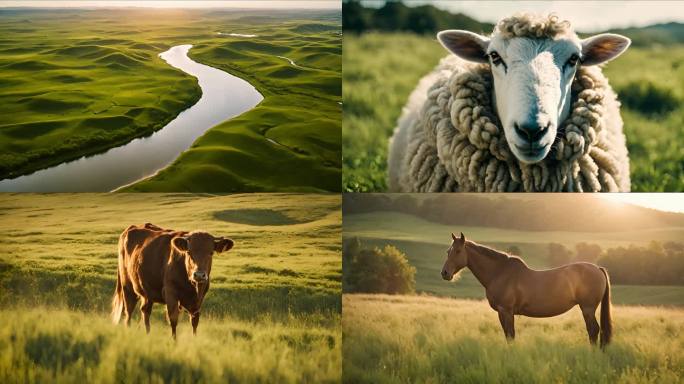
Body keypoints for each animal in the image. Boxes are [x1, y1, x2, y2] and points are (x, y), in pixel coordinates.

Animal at [444, 231, 616, 348]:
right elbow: (508, 335)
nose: (444, 273)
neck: (500, 272)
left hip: (587, 308)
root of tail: (597, 269)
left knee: (593, 330)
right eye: (448, 251)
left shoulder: (506, 311)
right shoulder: (502, 313)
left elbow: (510, 335)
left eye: (458, 251)